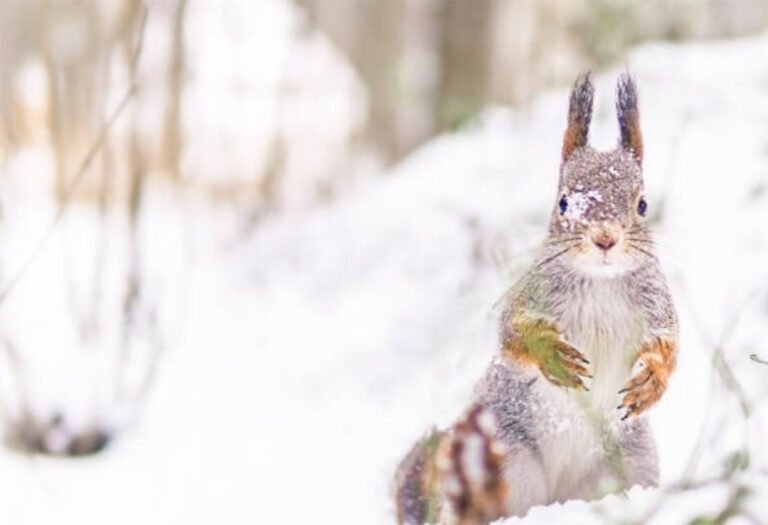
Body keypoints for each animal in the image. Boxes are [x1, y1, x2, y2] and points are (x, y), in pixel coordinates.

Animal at [393, 73, 678, 525]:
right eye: (563, 202)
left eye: (643, 204)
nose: (605, 239)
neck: (600, 282)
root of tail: (557, 496)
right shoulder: (527, 297)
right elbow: (514, 332)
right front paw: (554, 357)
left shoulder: (659, 310)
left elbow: (669, 349)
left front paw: (651, 381)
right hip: (502, 458)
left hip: (631, 462)